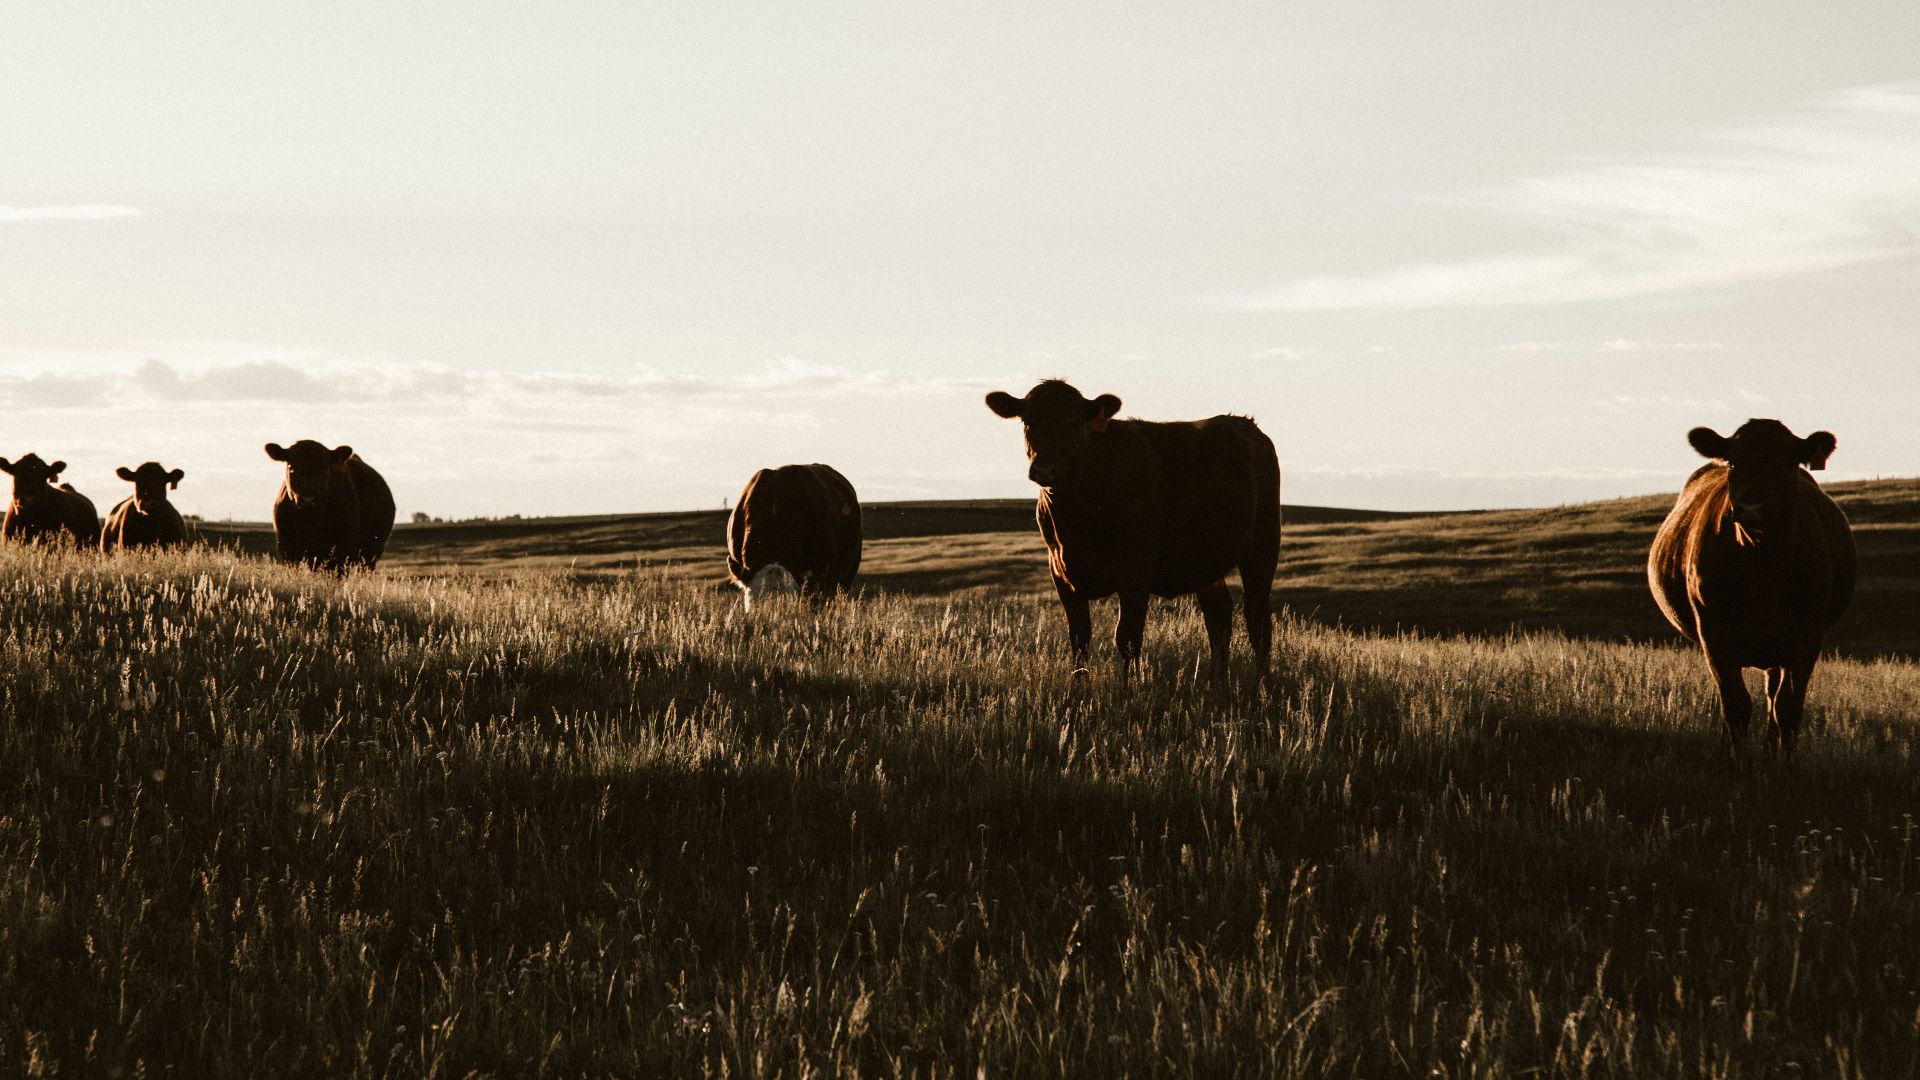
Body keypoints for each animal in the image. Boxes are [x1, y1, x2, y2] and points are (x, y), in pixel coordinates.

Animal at [264, 441, 396, 572]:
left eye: (325, 468)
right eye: (291, 467)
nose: (308, 499)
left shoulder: (341, 554)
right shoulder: (288, 552)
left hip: (370, 556)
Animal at [984, 380, 1281, 680]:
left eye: (1073, 423)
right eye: (1028, 422)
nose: (1045, 470)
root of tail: (1244, 424)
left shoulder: (1135, 571)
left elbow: (1127, 638)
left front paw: (1129, 688)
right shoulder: (1061, 573)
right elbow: (1079, 640)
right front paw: (1079, 689)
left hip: (1263, 545)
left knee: (1258, 618)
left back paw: (1262, 682)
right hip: (1206, 561)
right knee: (1219, 615)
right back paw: (1217, 680)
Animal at [1647, 419, 1856, 758]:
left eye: (1788, 463)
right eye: (1733, 462)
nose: (1751, 509)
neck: (1763, 568)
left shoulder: (1807, 635)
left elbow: (1787, 708)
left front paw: (1786, 763)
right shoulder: (1714, 632)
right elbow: (1735, 705)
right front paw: (1736, 761)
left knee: (1773, 695)